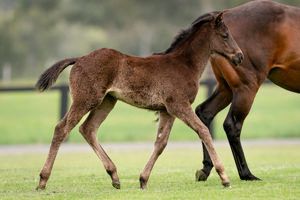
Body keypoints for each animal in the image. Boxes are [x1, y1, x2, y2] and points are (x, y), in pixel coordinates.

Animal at [35, 12, 244, 191]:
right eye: (225, 35)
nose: (239, 56)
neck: (184, 64)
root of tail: (79, 59)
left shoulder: (167, 110)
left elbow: (161, 143)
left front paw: (143, 180)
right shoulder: (179, 105)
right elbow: (203, 131)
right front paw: (224, 177)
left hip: (107, 101)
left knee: (88, 128)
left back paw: (115, 177)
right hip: (86, 99)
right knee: (62, 129)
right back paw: (43, 180)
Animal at [192, 0, 300, 181]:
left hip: (226, 89)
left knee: (204, 113)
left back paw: (206, 168)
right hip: (246, 89)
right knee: (232, 125)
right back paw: (246, 173)